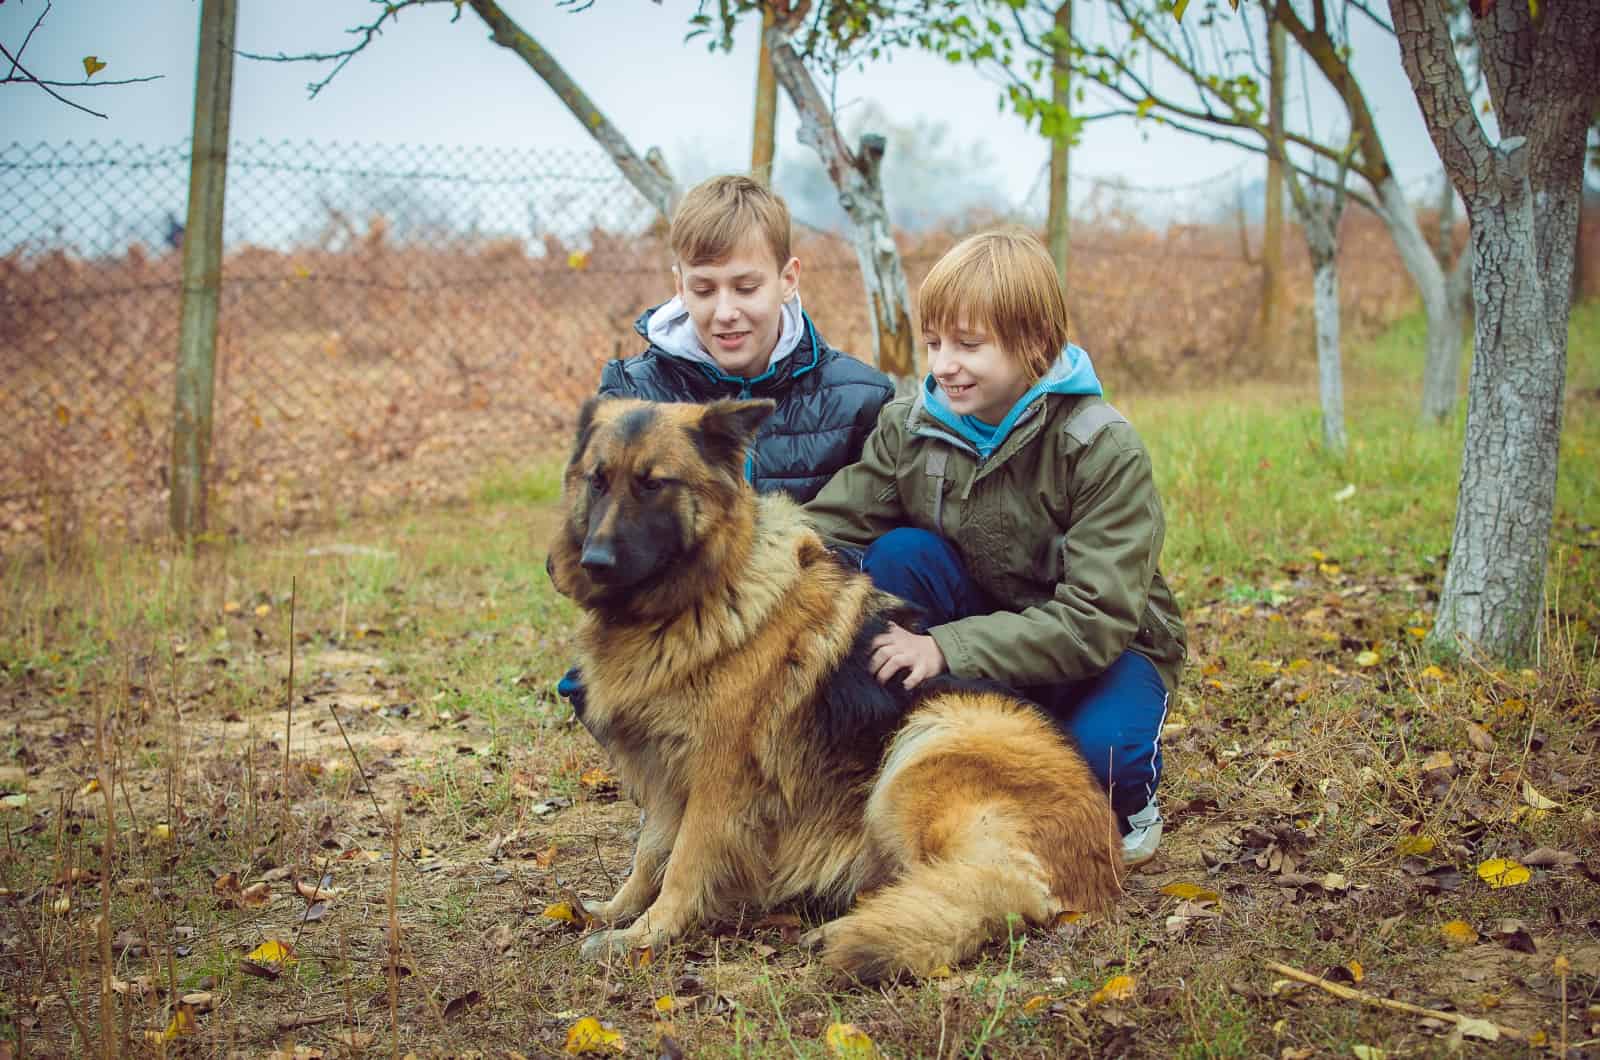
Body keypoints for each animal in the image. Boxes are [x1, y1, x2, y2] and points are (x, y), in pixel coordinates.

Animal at [550, 400, 1126, 986]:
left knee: (986, 888)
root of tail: (1108, 863)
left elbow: (683, 864)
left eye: (653, 484)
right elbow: (648, 854)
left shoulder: (716, 781)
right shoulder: (664, 773)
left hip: (925, 747)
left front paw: (648, 934)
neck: (702, 596)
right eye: (597, 481)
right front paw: (619, 911)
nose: (593, 561)